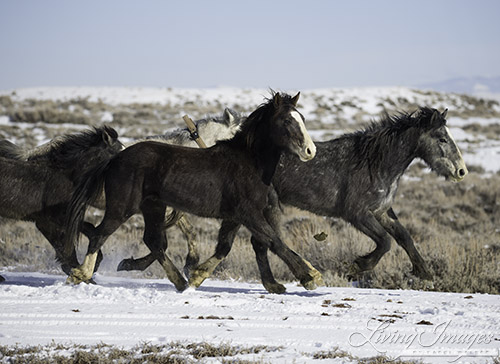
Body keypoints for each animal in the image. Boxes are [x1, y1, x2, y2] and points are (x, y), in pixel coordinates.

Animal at [0, 126, 122, 282]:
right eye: (118, 151)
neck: (66, 177)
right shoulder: (49, 223)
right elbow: (66, 252)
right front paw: (82, 277)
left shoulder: (63, 219)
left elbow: (89, 230)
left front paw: (92, 267)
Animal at [64, 91, 322, 292]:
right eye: (287, 121)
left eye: (302, 118)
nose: (310, 151)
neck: (249, 162)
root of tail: (115, 158)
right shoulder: (249, 214)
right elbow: (273, 241)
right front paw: (309, 276)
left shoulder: (236, 216)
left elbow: (227, 246)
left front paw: (198, 275)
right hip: (122, 207)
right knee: (99, 234)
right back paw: (80, 274)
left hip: (153, 206)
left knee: (153, 241)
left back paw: (178, 281)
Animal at [187, 106, 464, 292]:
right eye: (442, 138)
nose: (461, 171)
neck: (375, 163)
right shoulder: (357, 215)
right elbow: (385, 242)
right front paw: (356, 267)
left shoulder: (382, 211)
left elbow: (404, 236)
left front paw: (425, 273)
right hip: (264, 207)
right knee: (259, 242)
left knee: (241, 243)